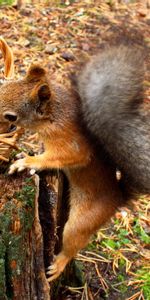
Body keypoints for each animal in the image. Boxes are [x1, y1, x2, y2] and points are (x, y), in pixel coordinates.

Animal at [0, 44, 149, 282]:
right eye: (3, 89)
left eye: (11, 116)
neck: (53, 115)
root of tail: (118, 198)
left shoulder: (70, 143)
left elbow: (64, 157)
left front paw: (28, 162)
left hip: (82, 221)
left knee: (73, 243)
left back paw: (58, 264)